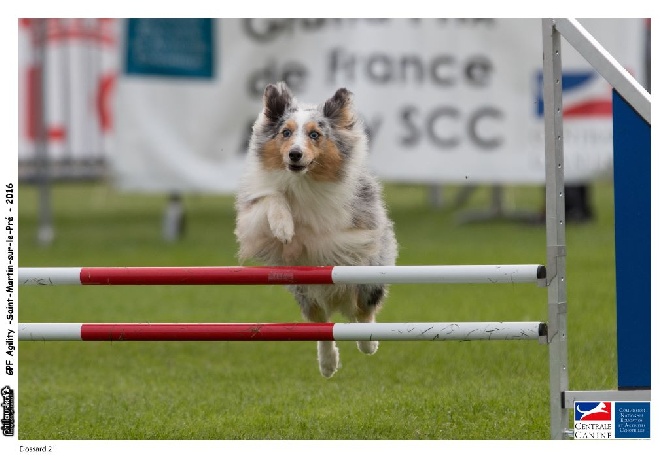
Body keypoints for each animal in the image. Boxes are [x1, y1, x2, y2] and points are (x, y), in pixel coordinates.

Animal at [235, 82, 400, 378]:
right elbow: (273, 199)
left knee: (363, 309)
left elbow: (328, 231)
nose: (295, 154)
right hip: (304, 291)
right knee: (322, 325)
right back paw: (327, 363)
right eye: (286, 132)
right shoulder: (253, 214)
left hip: (371, 276)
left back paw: (367, 343)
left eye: (315, 135)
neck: (302, 181)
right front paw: (284, 228)